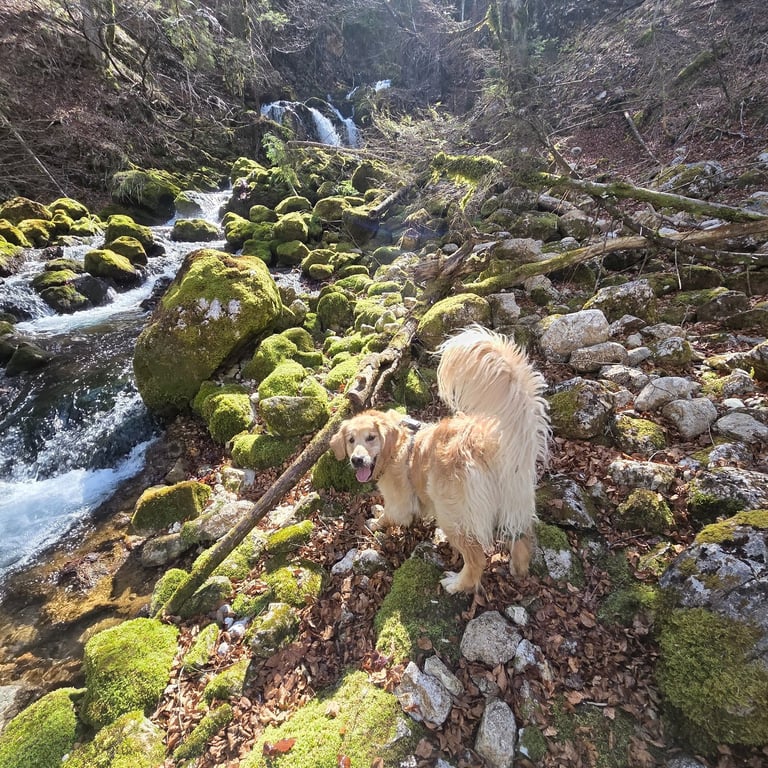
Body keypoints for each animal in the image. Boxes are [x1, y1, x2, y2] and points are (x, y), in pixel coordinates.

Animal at [330, 325, 550, 594]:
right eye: (351, 440)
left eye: (371, 438)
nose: (357, 460)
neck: (397, 445)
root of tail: (491, 442)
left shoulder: (400, 502)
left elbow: (390, 515)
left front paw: (375, 521)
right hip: (514, 499)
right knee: (521, 535)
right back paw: (518, 568)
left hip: (452, 513)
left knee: (477, 558)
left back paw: (456, 584)